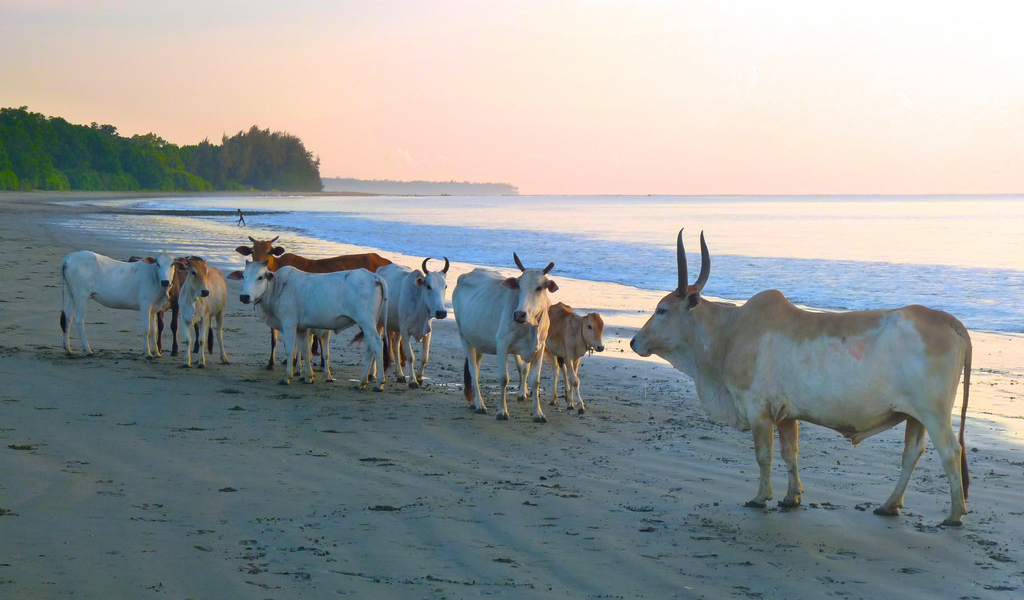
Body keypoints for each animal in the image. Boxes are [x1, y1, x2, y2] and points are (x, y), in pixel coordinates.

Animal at [452, 251, 557, 419]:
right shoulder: (502, 345)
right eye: (519, 286)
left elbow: (535, 381)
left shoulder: (539, 349)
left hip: (479, 342)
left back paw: (473, 402)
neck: (529, 326)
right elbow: (503, 379)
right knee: (473, 370)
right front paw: (502, 411)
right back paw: (480, 405)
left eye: (539, 287)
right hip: (464, 337)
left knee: (476, 367)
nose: (519, 314)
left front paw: (538, 413)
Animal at [626, 229, 970, 524]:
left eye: (662, 310)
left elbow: (764, 455)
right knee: (912, 454)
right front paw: (792, 498)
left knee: (951, 452)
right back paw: (889, 505)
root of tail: (948, 320)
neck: (729, 332)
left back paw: (955, 514)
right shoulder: (787, 415)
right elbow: (790, 454)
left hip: (933, 413)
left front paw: (761, 497)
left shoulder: (758, 410)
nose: (633, 342)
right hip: (916, 416)